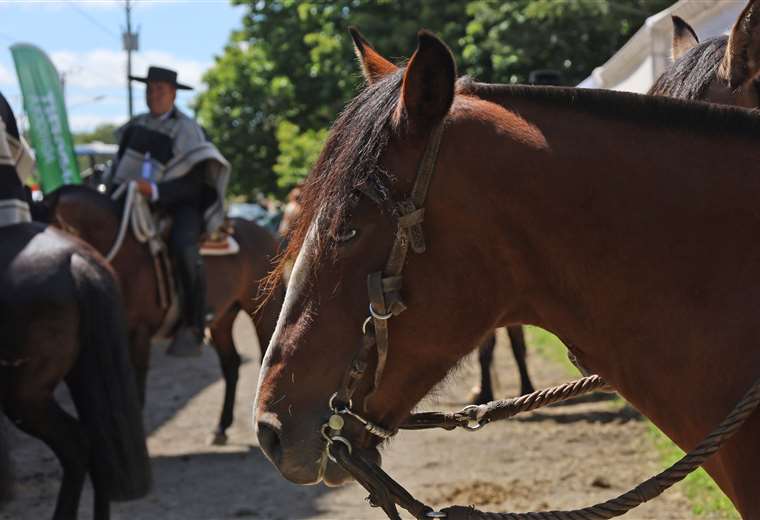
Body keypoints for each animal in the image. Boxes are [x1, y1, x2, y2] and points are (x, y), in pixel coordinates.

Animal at [45, 183, 284, 442]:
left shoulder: (138, 334)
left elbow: (136, 391)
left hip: (263, 311)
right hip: (223, 319)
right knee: (231, 364)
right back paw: (221, 427)